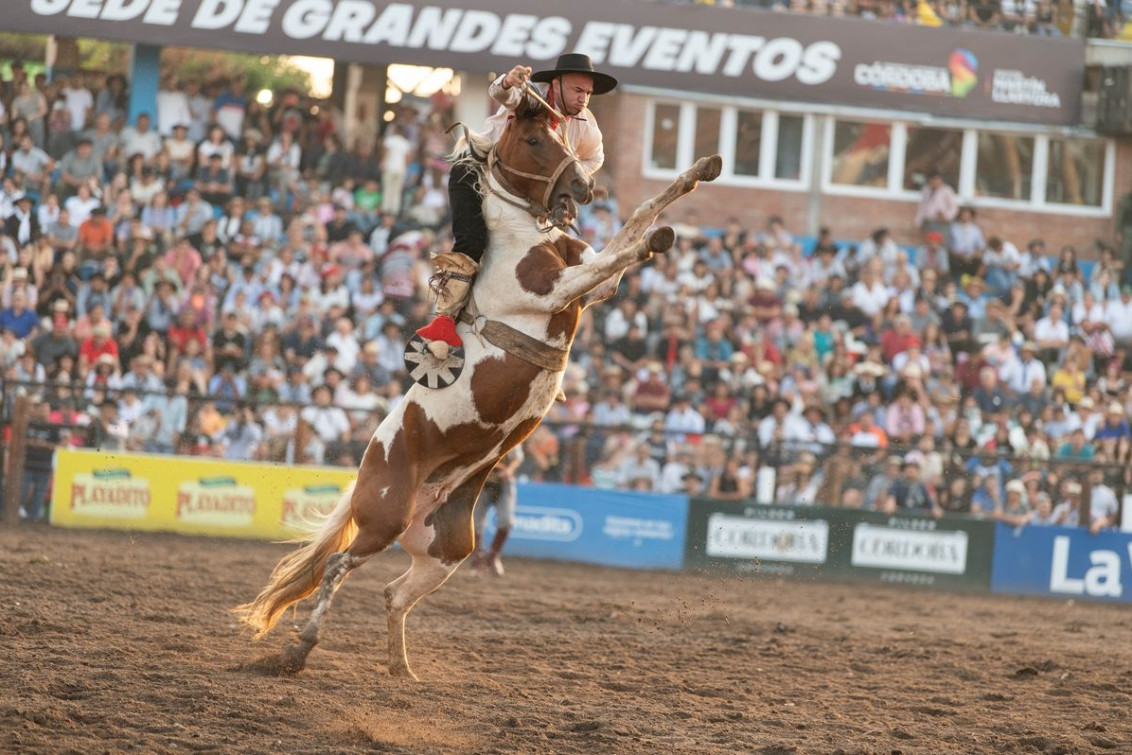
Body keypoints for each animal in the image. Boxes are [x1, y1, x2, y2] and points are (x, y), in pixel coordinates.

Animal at [234, 97, 719, 683]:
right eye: (533, 140)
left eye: (562, 135)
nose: (582, 186)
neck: (521, 236)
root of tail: (371, 467)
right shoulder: (558, 288)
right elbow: (620, 250)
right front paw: (659, 237)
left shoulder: (595, 286)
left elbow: (636, 220)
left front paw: (698, 173)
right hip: (383, 520)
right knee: (335, 566)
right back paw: (300, 649)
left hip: (446, 547)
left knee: (394, 594)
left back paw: (402, 671)